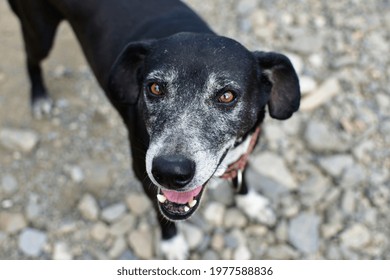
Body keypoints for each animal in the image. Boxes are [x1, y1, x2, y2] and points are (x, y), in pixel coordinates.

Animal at [9, 0, 300, 258]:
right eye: (155, 88)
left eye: (227, 96)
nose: (170, 171)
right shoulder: (143, 173)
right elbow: (163, 215)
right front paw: (171, 244)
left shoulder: (246, 147)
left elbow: (242, 174)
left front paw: (251, 203)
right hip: (40, 33)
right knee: (30, 58)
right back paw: (39, 97)